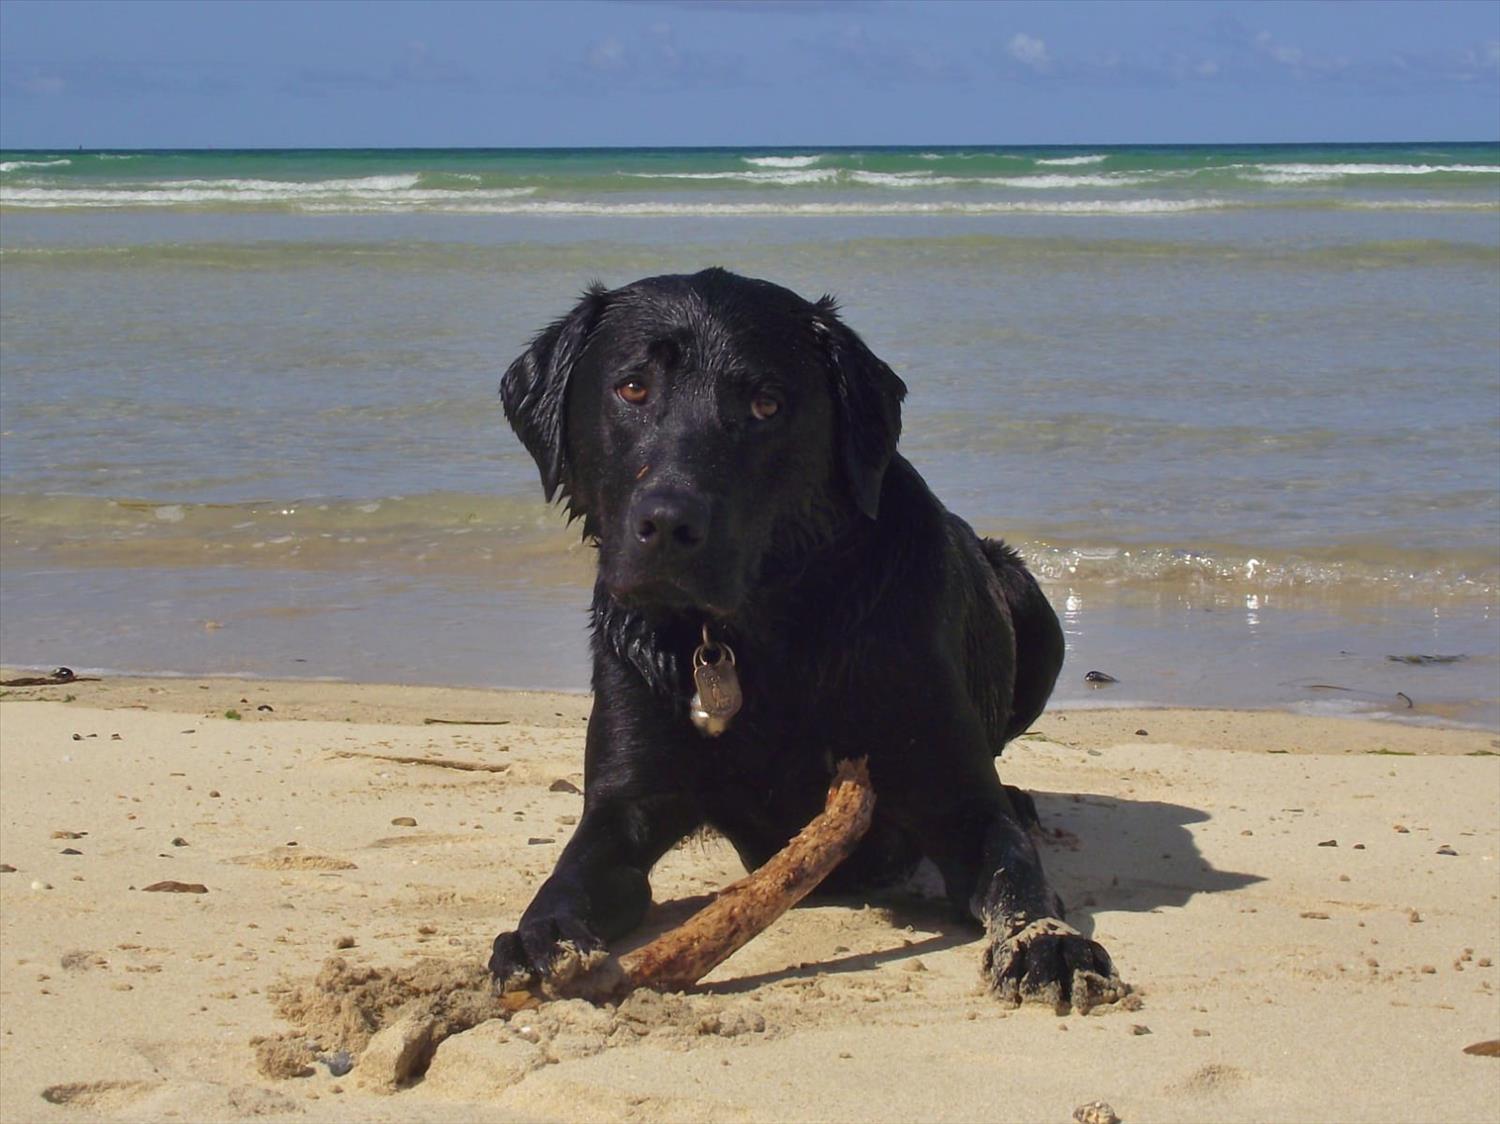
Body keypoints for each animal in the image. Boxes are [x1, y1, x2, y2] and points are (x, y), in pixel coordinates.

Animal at [498, 270, 1122, 1008]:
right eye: (632, 388)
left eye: (767, 404)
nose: (670, 524)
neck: (760, 635)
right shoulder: (624, 807)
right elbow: (569, 876)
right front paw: (536, 939)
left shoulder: (956, 795)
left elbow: (1014, 876)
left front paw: (1048, 942)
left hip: (1032, 608)